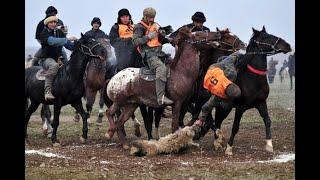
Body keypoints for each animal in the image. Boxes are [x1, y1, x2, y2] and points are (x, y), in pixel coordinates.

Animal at [211, 26, 292, 155]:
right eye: (265, 37)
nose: (287, 45)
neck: (253, 79)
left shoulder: (261, 103)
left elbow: (267, 121)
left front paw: (269, 145)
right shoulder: (240, 108)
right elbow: (235, 127)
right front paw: (229, 148)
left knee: (218, 121)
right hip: (224, 106)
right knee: (217, 121)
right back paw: (217, 142)